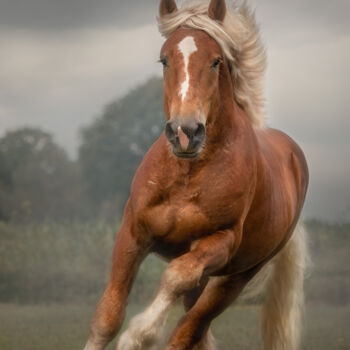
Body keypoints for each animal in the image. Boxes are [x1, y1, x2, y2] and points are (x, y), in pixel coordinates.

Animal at [84, 0, 308, 350]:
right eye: (164, 59)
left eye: (216, 61)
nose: (185, 132)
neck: (188, 175)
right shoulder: (133, 233)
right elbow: (106, 318)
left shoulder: (220, 242)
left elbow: (175, 277)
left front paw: (138, 335)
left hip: (235, 276)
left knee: (188, 329)